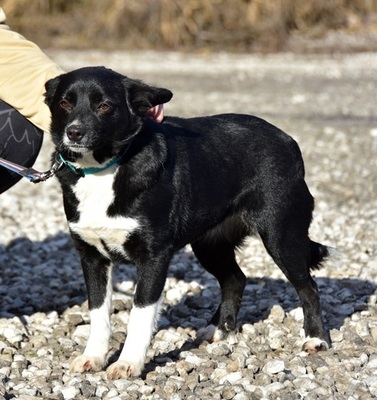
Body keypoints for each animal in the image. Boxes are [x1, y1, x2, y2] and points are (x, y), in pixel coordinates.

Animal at [44, 65, 332, 378]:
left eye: (104, 106)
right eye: (65, 103)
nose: (74, 132)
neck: (103, 169)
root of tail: (288, 140)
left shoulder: (154, 257)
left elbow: (140, 315)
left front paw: (129, 362)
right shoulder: (92, 257)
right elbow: (98, 313)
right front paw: (93, 357)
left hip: (281, 236)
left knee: (308, 286)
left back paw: (316, 338)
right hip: (210, 245)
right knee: (235, 279)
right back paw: (219, 329)